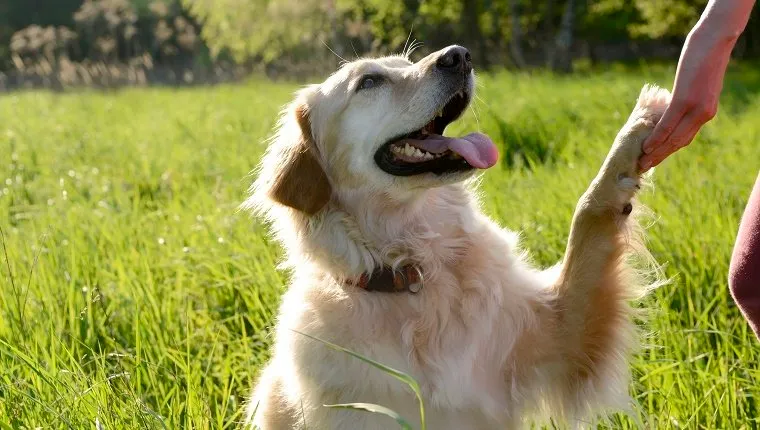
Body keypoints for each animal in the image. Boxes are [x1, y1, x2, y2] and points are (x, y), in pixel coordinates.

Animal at [242, 45, 664, 428]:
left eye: (407, 62)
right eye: (369, 82)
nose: (459, 55)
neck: (417, 271)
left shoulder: (562, 334)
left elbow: (588, 217)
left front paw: (639, 125)